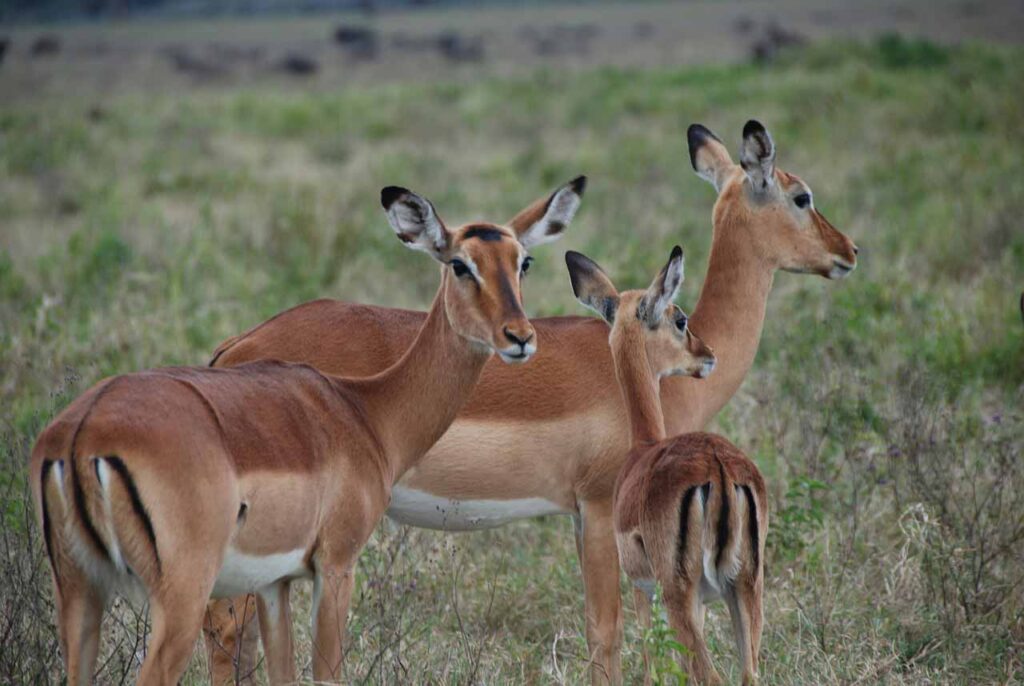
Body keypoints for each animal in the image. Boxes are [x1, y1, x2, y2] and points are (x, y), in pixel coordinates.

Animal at [30, 177, 586, 686]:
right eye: (459, 264)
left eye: (523, 262)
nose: (519, 337)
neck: (365, 409)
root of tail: (82, 433)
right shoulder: (336, 564)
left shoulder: (276, 582)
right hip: (181, 596)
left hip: (79, 592)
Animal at [567, 247, 767, 686]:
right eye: (680, 319)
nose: (708, 356)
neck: (644, 447)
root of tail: (718, 468)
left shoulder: (643, 589)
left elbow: (652, 664)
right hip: (745, 587)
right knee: (748, 674)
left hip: (681, 594)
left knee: (710, 675)